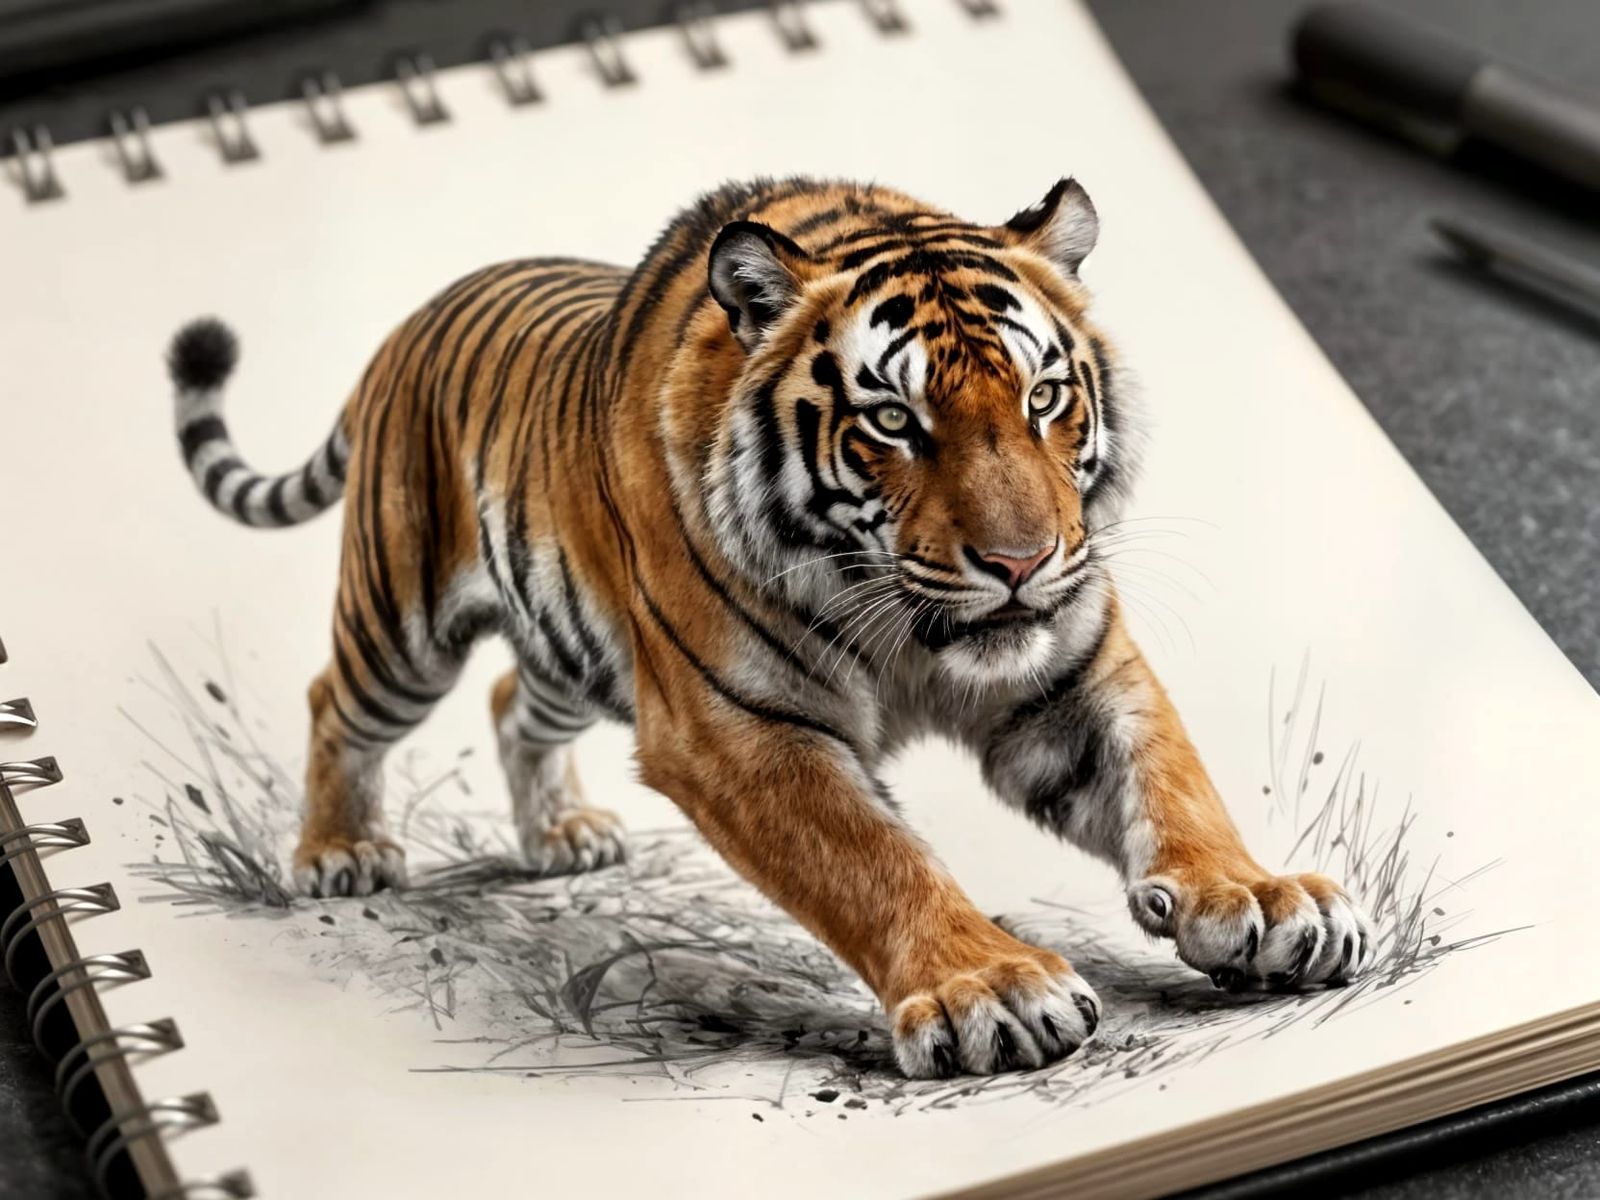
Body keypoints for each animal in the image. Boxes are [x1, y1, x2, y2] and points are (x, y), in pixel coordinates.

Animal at [165, 176, 1374, 1079]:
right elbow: (871, 858)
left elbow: (1168, 775)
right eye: (894, 420)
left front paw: (1257, 899)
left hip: (567, 648)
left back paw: (562, 838)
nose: (1020, 564)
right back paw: (338, 854)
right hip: (403, 619)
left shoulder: (1072, 668)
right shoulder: (736, 728)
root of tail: (413, 319)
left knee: (512, 700)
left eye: (1042, 399)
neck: (913, 635)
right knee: (338, 701)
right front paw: (990, 989)